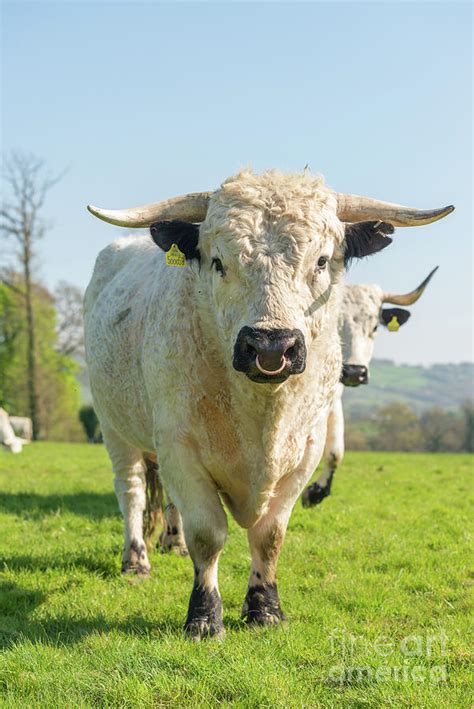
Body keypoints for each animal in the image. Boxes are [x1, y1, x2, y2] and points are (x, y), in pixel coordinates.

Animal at [302, 266, 438, 508]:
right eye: (335, 323)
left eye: (374, 326)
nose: (355, 372)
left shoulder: (333, 397)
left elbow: (335, 451)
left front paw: (316, 492)